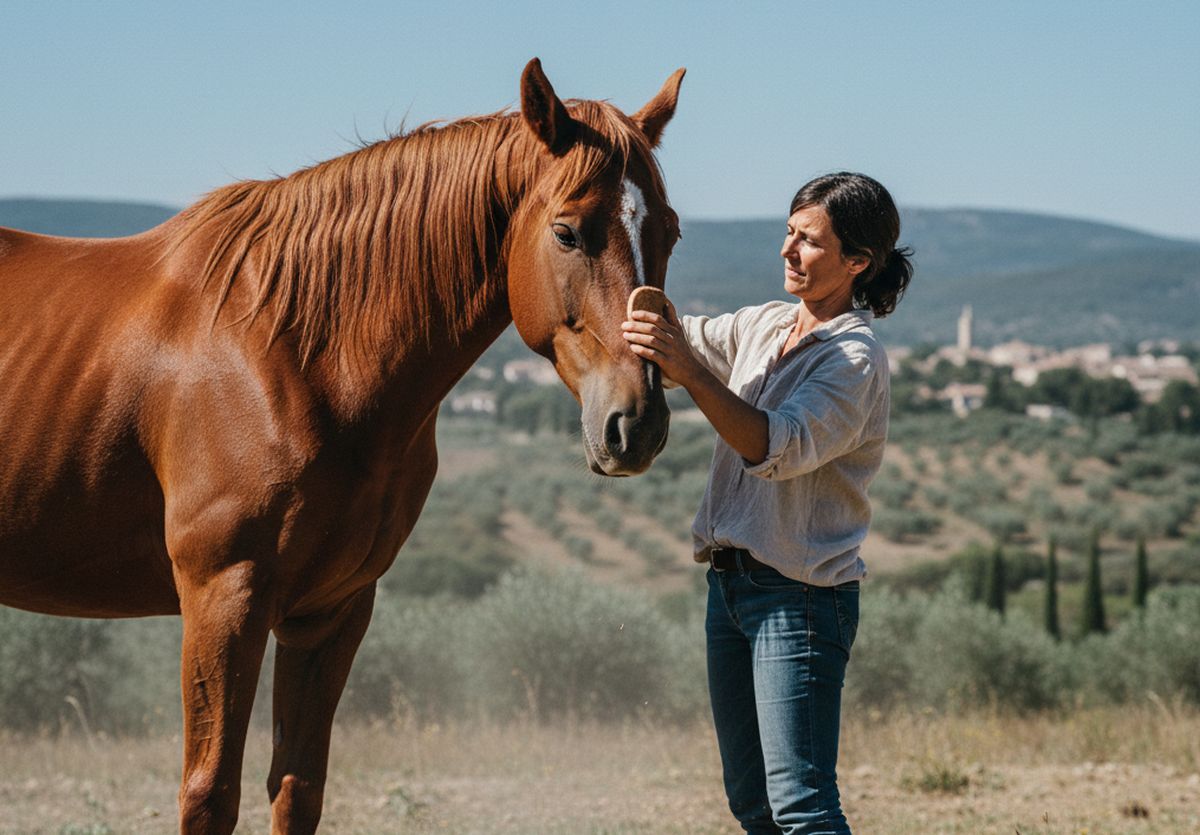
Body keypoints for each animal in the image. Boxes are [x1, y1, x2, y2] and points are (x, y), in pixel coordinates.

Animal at [0, 58, 684, 833]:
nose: (637, 423)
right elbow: (209, 792)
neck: (291, 350)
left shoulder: (330, 611)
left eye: (669, 232)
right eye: (568, 233)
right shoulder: (222, 598)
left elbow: (298, 786)